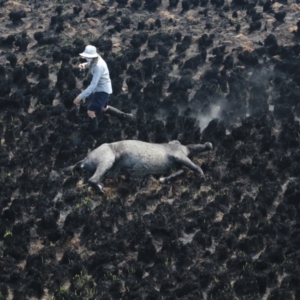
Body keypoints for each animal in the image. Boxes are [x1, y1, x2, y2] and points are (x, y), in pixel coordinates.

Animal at [63, 139, 213, 191]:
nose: (209, 144)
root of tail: (84, 160)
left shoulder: (177, 164)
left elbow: (179, 171)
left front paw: (164, 179)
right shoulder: (179, 156)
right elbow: (195, 167)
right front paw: (202, 176)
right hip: (107, 159)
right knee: (92, 180)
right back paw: (100, 187)